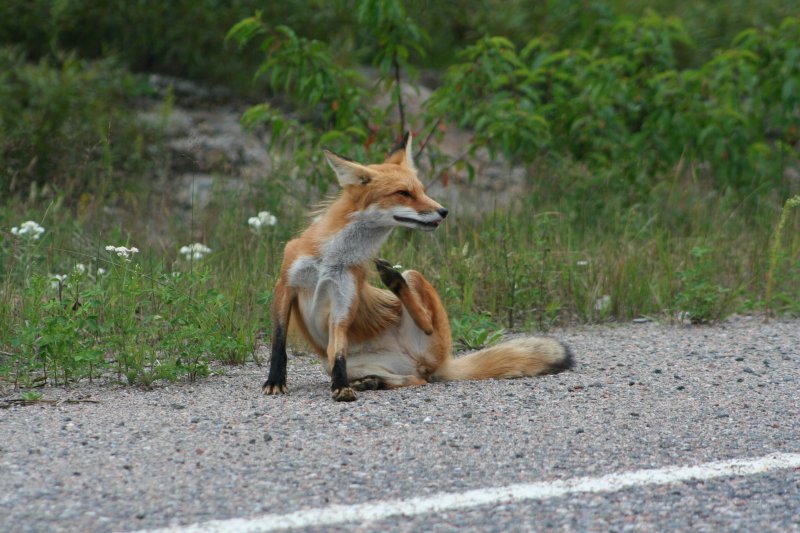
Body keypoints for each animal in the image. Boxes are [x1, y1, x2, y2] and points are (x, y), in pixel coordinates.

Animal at [260, 132, 568, 400]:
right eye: (403, 193)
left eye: (421, 190)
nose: (444, 211)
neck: (332, 259)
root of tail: (441, 361)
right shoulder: (285, 284)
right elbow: (279, 343)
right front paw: (275, 381)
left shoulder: (342, 302)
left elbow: (338, 353)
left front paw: (341, 386)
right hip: (356, 362)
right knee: (415, 378)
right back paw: (372, 381)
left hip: (417, 284)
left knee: (426, 338)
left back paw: (394, 282)